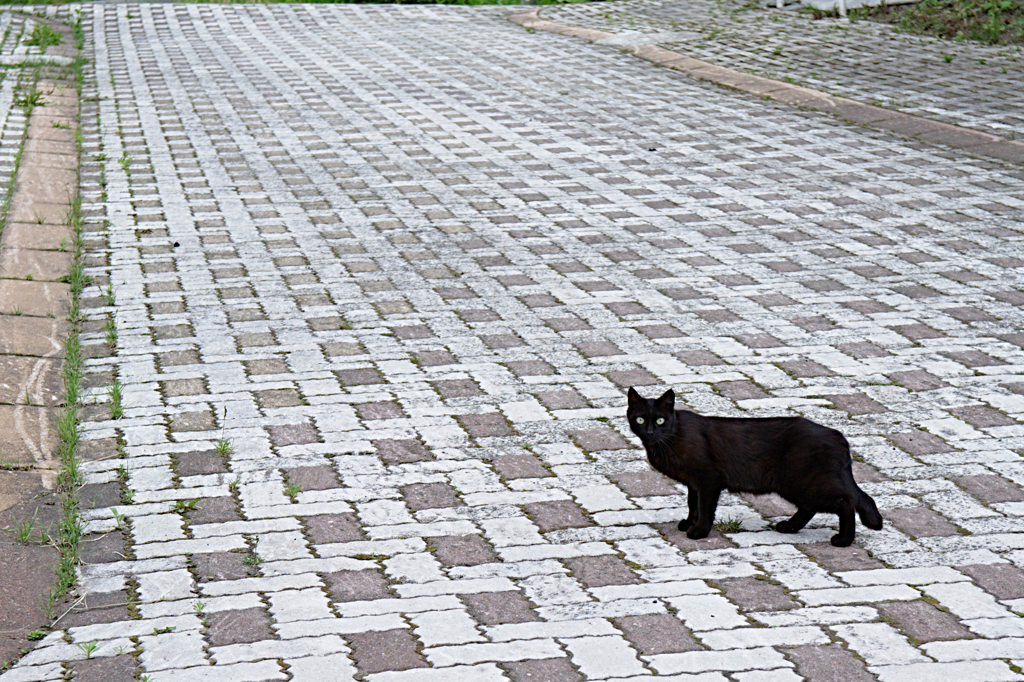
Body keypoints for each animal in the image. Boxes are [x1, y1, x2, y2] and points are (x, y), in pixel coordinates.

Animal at [622, 385, 880, 544]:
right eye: (640, 419)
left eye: (660, 420)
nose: (650, 431)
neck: (671, 437)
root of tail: (838, 435)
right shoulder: (693, 483)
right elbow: (692, 504)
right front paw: (689, 523)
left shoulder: (707, 481)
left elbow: (704, 507)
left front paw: (699, 531)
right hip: (797, 485)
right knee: (811, 506)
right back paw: (789, 527)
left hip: (807, 483)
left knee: (846, 500)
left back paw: (843, 541)